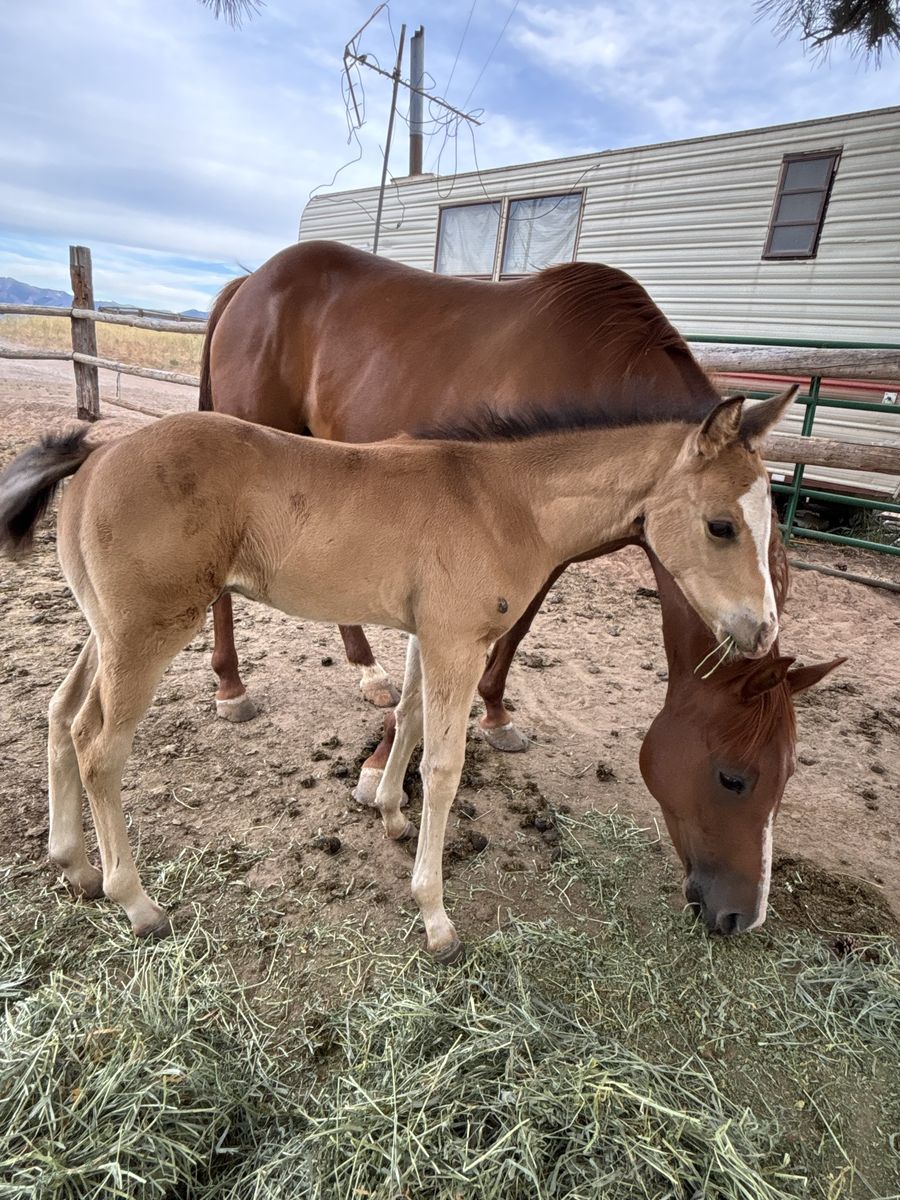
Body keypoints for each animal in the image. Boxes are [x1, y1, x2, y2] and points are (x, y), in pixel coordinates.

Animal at [0, 387, 794, 958]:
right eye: (722, 525)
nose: (761, 632)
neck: (505, 500)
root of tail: (98, 454)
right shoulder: (457, 643)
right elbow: (444, 766)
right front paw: (435, 915)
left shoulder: (426, 635)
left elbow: (409, 719)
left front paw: (387, 812)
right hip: (147, 634)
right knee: (100, 747)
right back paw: (136, 902)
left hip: (106, 630)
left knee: (61, 715)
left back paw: (73, 865)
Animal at [200, 240, 842, 932]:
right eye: (733, 777)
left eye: (786, 777)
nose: (742, 916)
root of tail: (251, 282)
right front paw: (380, 773)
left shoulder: (544, 557)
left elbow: (506, 641)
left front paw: (494, 715)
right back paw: (231, 685)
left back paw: (366, 671)